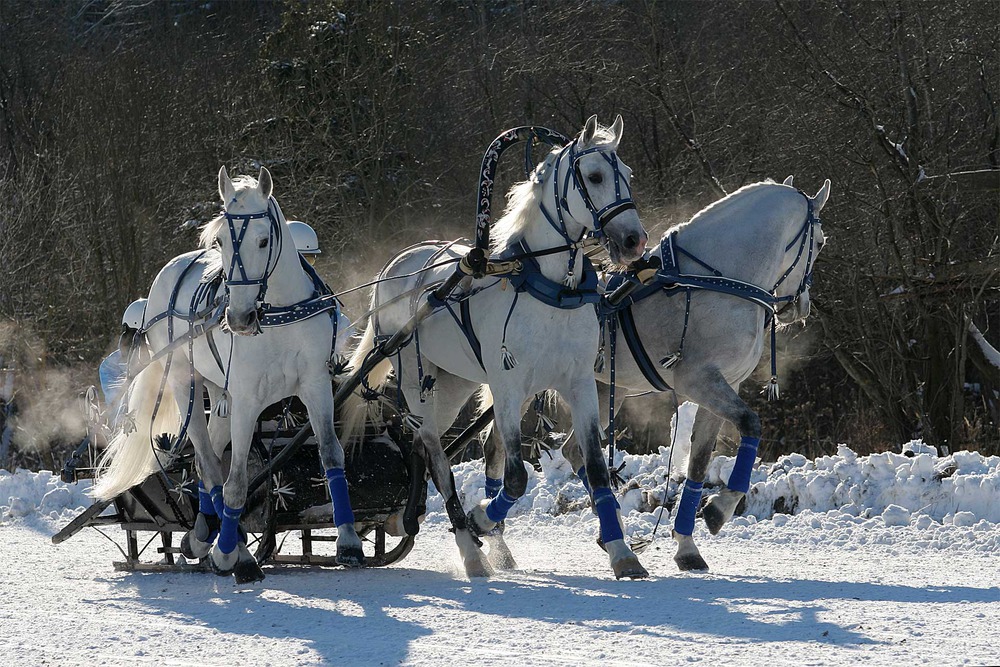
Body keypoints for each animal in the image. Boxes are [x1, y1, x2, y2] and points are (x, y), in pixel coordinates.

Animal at [94, 168, 364, 584]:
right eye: (219, 239)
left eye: (264, 239)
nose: (238, 318)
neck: (276, 315)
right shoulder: (249, 399)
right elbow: (236, 482)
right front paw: (234, 557)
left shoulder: (315, 385)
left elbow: (331, 454)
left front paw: (348, 541)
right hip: (187, 385)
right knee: (207, 463)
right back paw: (231, 547)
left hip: (223, 396)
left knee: (207, 462)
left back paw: (204, 532)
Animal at [348, 115, 652, 580]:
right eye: (595, 176)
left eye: (629, 175)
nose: (634, 239)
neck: (549, 287)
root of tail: (393, 267)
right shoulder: (508, 387)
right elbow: (514, 478)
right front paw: (481, 519)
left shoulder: (580, 383)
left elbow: (597, 470)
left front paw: (622, 554)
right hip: (418, 382)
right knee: (437, 458)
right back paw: (470, 549)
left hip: (453, 383)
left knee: (422, 448)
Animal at [548, 175, 828, 572]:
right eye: (819, 242)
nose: (799, 307)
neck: (717, 280)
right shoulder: (698, 381)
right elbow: (752, 424)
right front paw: (718, 510)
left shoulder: (724, 384)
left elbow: (699, 462)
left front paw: (686, 544)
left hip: (601, 393)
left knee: (575, 452)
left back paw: (611, 532)